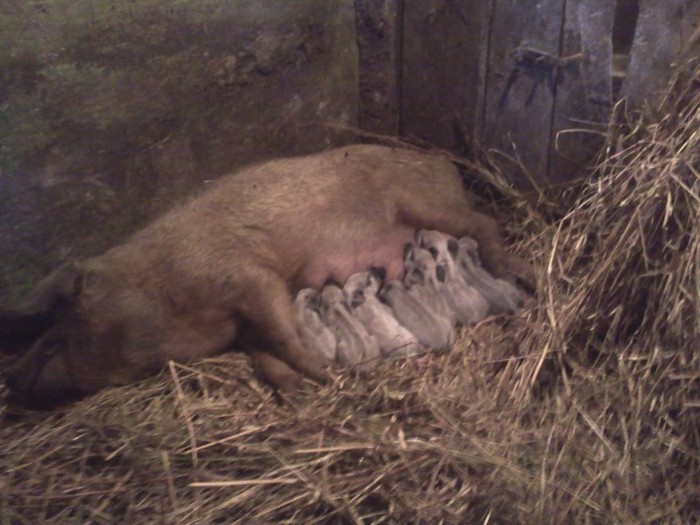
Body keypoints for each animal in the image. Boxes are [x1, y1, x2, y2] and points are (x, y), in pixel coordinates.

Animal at [2, 145, 532, 408]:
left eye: (56, 336)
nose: (11, 377)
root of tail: (442, 164)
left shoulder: (247, 275)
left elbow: (282, 330)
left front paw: (322, 375)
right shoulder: (242, 327)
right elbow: (264, 353)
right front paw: (299, 393)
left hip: (418, 199)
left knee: (483, 223)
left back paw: (523, 277)